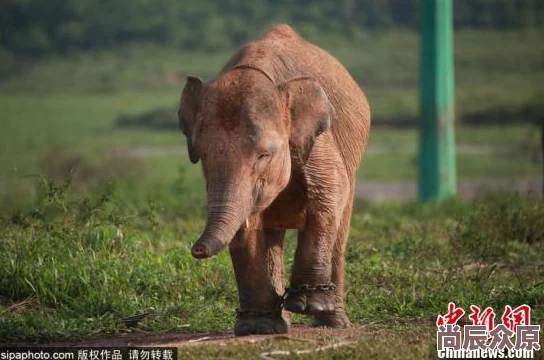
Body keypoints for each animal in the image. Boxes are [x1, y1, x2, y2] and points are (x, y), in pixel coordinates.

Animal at [177, 24, 370, 334]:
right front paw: (257, 328)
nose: (197, 249)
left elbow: (329, 191)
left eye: (264, 155)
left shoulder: (317, 139)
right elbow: (248, 227)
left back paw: (332, 322)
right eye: (202, 156)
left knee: (340, 228)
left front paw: (305, 303)